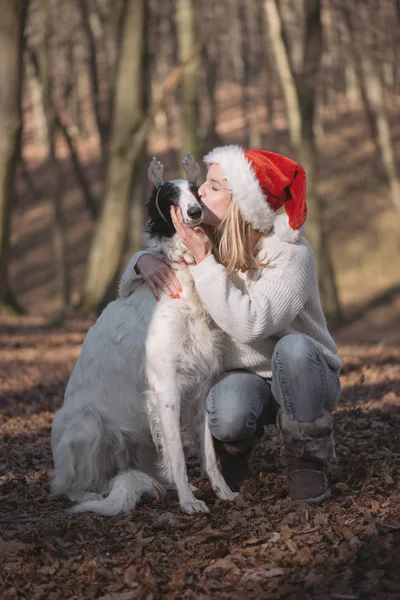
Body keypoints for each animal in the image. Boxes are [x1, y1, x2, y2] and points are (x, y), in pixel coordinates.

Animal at [50, 155, 238, 516]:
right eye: (171, 197)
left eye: (197, 192)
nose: (195, 212)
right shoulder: (165, 386)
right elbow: (178, 455)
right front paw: (189, 502)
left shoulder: (200, 388)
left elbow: (207, 454)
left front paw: (223, 492)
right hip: (88, 425)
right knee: (67, 487)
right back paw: (92, 495)